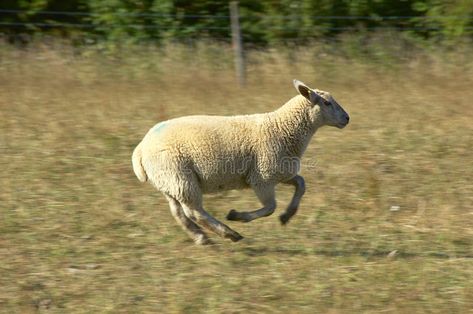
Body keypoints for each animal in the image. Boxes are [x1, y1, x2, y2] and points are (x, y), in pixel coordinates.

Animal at [131, 79, 348, 244]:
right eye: (327, 103)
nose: (347, 118)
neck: (282, 127)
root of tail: (140, 149)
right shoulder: (262, 178)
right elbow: (270, 208)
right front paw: (238, 216)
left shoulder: (281, 172)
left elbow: (301, 185)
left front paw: (287, 216)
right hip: (180, 178)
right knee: (194, 212)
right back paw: (228, 233)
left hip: (170, 183)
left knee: (179, 213)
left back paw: (201, 237)